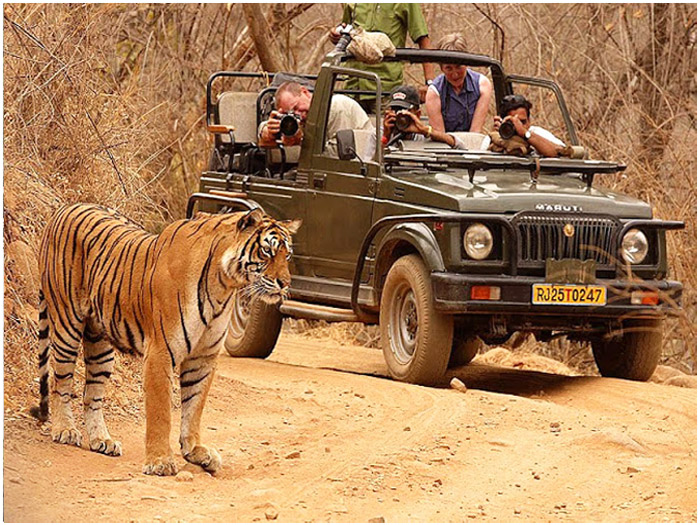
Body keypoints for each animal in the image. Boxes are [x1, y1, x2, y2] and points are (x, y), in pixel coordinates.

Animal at [30, 204, 300, 474]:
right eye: (266, 251)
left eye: (286, 255)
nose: (285, 283)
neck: (223, 285)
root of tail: (63, 209)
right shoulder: (160, 352)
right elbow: (161, 412)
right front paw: (159, 461)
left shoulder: (202, 357)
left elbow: (194, 406)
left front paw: (195, 451)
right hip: (67, 325)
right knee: (60, 382)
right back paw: (65, 430)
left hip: (100, 343)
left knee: (92, 393)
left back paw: (102, 440)